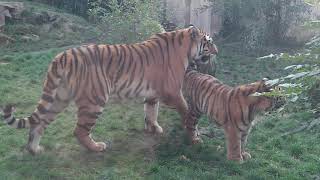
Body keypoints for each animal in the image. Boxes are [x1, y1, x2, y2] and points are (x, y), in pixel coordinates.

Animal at [0, 26, 218, 155]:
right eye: (209, 42)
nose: (217, 51)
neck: (185, 48)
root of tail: (62, 56)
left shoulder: (152, 94)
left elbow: (151, 112)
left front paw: (153, 128)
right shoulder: (173, 93)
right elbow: (188, 115)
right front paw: (195, 138)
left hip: (58, 98)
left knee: (39, 124)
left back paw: (35, 149)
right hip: (94, 100)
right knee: (79, 130)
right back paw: (97, 147)